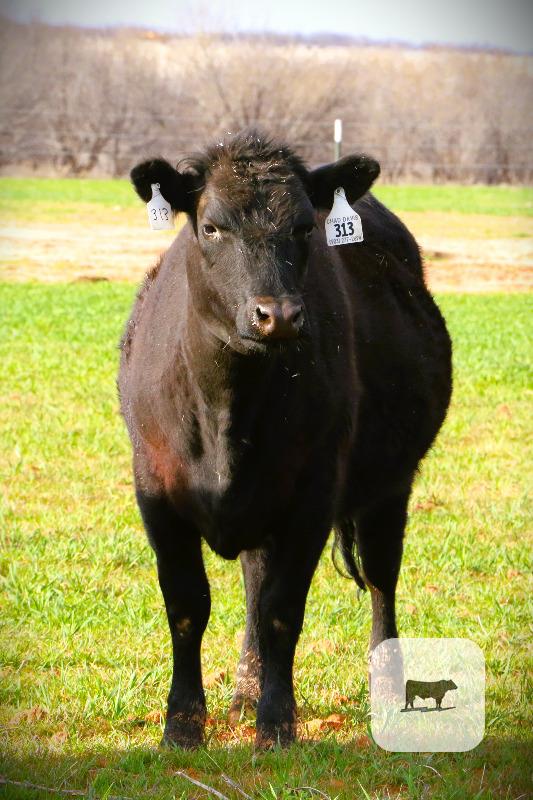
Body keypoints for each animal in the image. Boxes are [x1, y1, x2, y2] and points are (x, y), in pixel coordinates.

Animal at [118, 130, 452, 750]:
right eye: (211, 227)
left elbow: (282, 608)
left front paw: (276, 722)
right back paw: (244, 690)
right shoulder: (155, 488)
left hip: (390, 484)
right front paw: (184, 723)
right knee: (254, 579)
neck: (226, 415)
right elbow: (188, 605)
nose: (278, 315)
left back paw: (387, 686)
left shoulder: (312, 495)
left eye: (303, 227)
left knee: (381, 578)